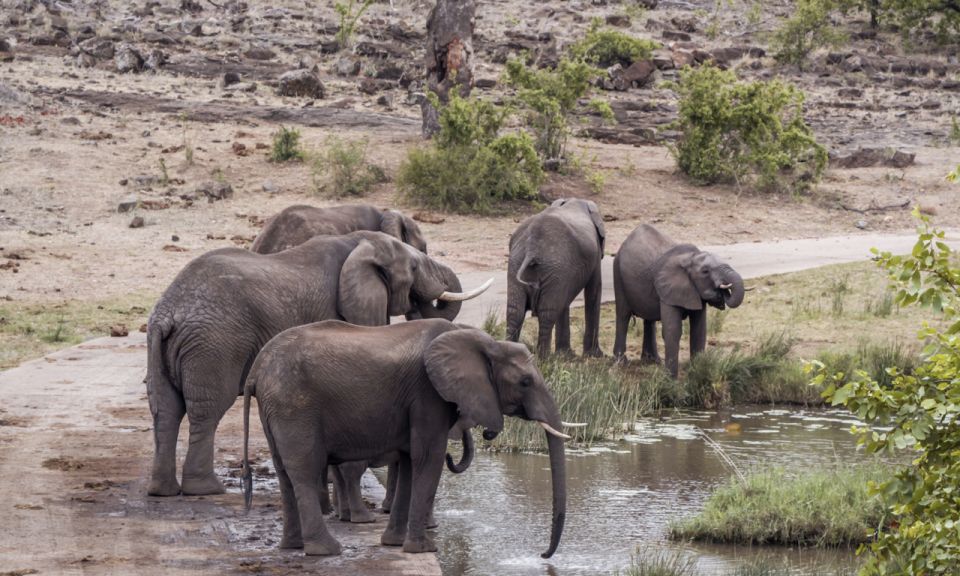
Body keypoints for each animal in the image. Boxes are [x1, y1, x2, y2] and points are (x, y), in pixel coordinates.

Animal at [144, 230, 488, 496]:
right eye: (414, 266)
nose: (420, 301)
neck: (359, 242)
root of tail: (168, 311)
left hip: (163, 343)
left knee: (166, 408)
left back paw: (163, 491)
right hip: (214, 344)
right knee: (207, 409)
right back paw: (206, 489)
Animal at [242, 320, 568, 560]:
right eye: (525, 382)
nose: (543, 555)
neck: (482, 340)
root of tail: (256, 370)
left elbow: (411, 460)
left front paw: (395, 544)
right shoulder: (427, 394)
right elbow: (429, 456)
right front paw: (423, 549)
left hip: (276, 409)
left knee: (284, 472)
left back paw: (293, 546)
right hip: (295, 406)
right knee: (305, 470)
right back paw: (326, 550)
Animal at [506, 200, 604, 358]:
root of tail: (532, 247)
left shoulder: (565, 273)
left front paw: (565, 354)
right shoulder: (594, 255)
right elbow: (593, 291)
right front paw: (595, 355)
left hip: (518, 262)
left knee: (515, 311)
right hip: (553, 266)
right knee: (548, 313)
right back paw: (545, 359)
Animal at [612, 224, 748, 378]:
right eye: (705, 271)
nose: (722, 290)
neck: (690, 258)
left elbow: (699, 330)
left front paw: (697, 373)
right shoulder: (669, 289)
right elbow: (673, 330)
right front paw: (670, 380)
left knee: (649, 319)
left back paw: (652, 361)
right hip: (617, 272)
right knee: (623, 315)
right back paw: (621, 363)